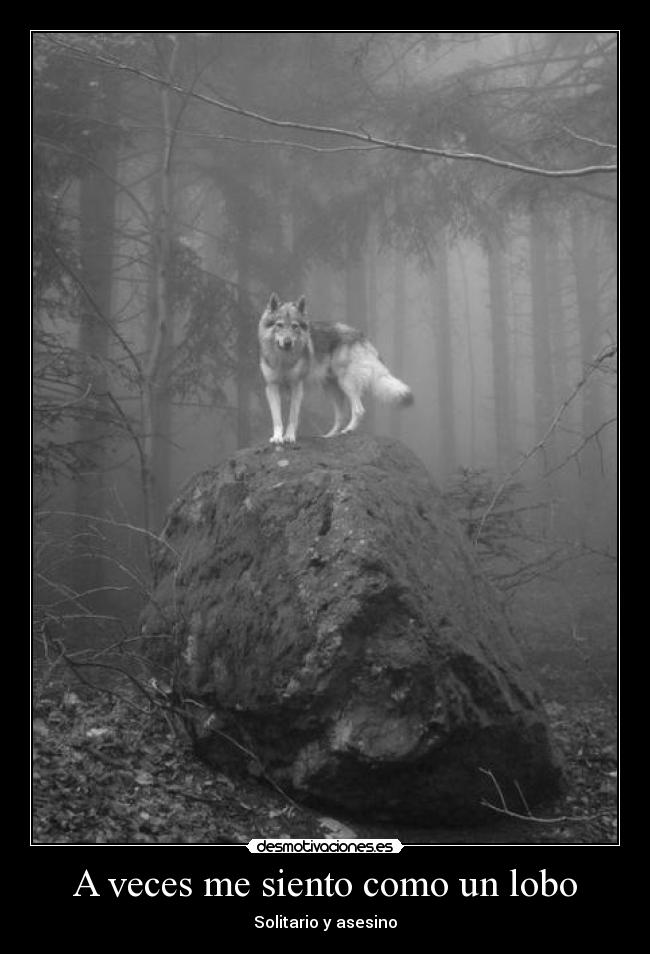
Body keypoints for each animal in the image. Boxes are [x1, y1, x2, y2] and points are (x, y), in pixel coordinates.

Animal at [258, 293, 413, 444]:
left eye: (294, 326)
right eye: (279, 325)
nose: (287, 342)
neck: (283, 359)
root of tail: (361, 336)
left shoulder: (297, 387)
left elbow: (292, 417)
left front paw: (289, 436)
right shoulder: (271, 387)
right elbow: (277, 418)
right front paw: (277, 437)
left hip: (347, 383)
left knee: (359, 410)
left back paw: (348, 430)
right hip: (331, 389)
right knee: (341, 416)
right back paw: (330, 436)